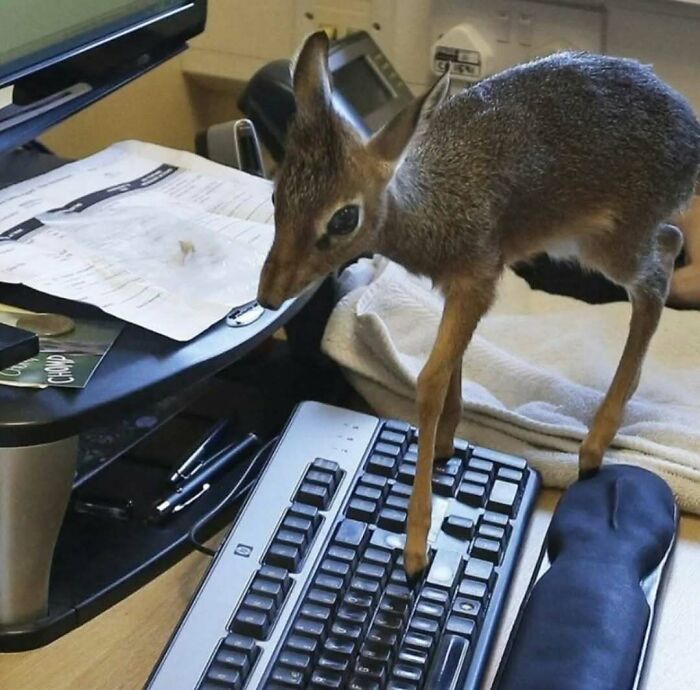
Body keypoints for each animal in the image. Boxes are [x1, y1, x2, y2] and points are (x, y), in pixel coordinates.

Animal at [257, 31, 700, 577]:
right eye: (277, 195)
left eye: (343, 218)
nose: (269, 294)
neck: (429, 212)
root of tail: (691, 129)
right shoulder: (458, 287)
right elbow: (451, 369)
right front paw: (448, 445)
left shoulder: (478, 281)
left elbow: (429, 381)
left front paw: (415, 546)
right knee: (670, 247)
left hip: (608, 243)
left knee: (657, 278)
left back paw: (595, 445)